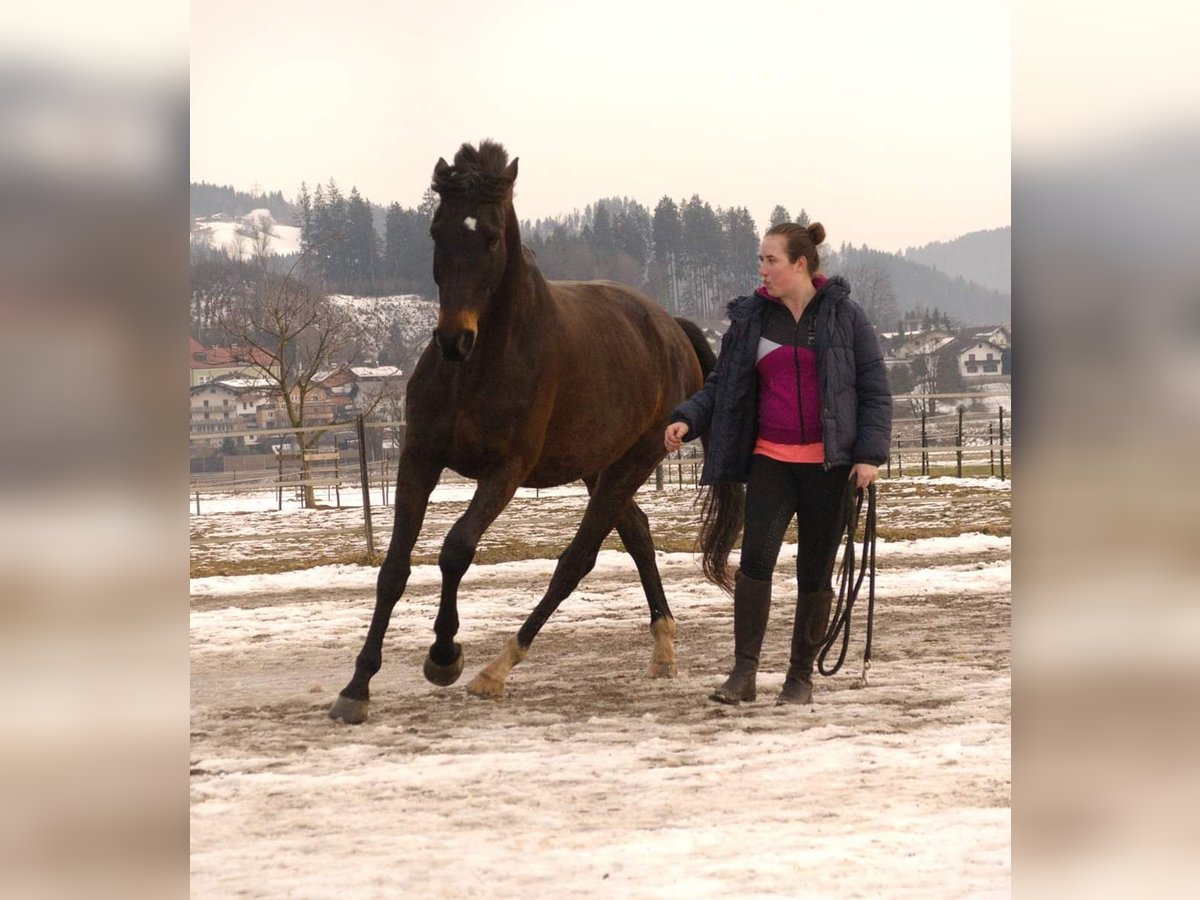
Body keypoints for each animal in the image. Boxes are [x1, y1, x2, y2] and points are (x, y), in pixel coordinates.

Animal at [328, 141, 729, 724]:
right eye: (436, 230)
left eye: (492, 236)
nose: (453, 339)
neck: (481, 365)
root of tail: (670, 328)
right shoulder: (419, 458)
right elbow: (395, 567)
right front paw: (357, 686)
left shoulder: (506, 470)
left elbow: (456, 549)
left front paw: (444, 655)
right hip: (600, 469)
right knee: (637, 534)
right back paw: (662, 650)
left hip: (633, 463)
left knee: (577, 561)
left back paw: (496, 669)